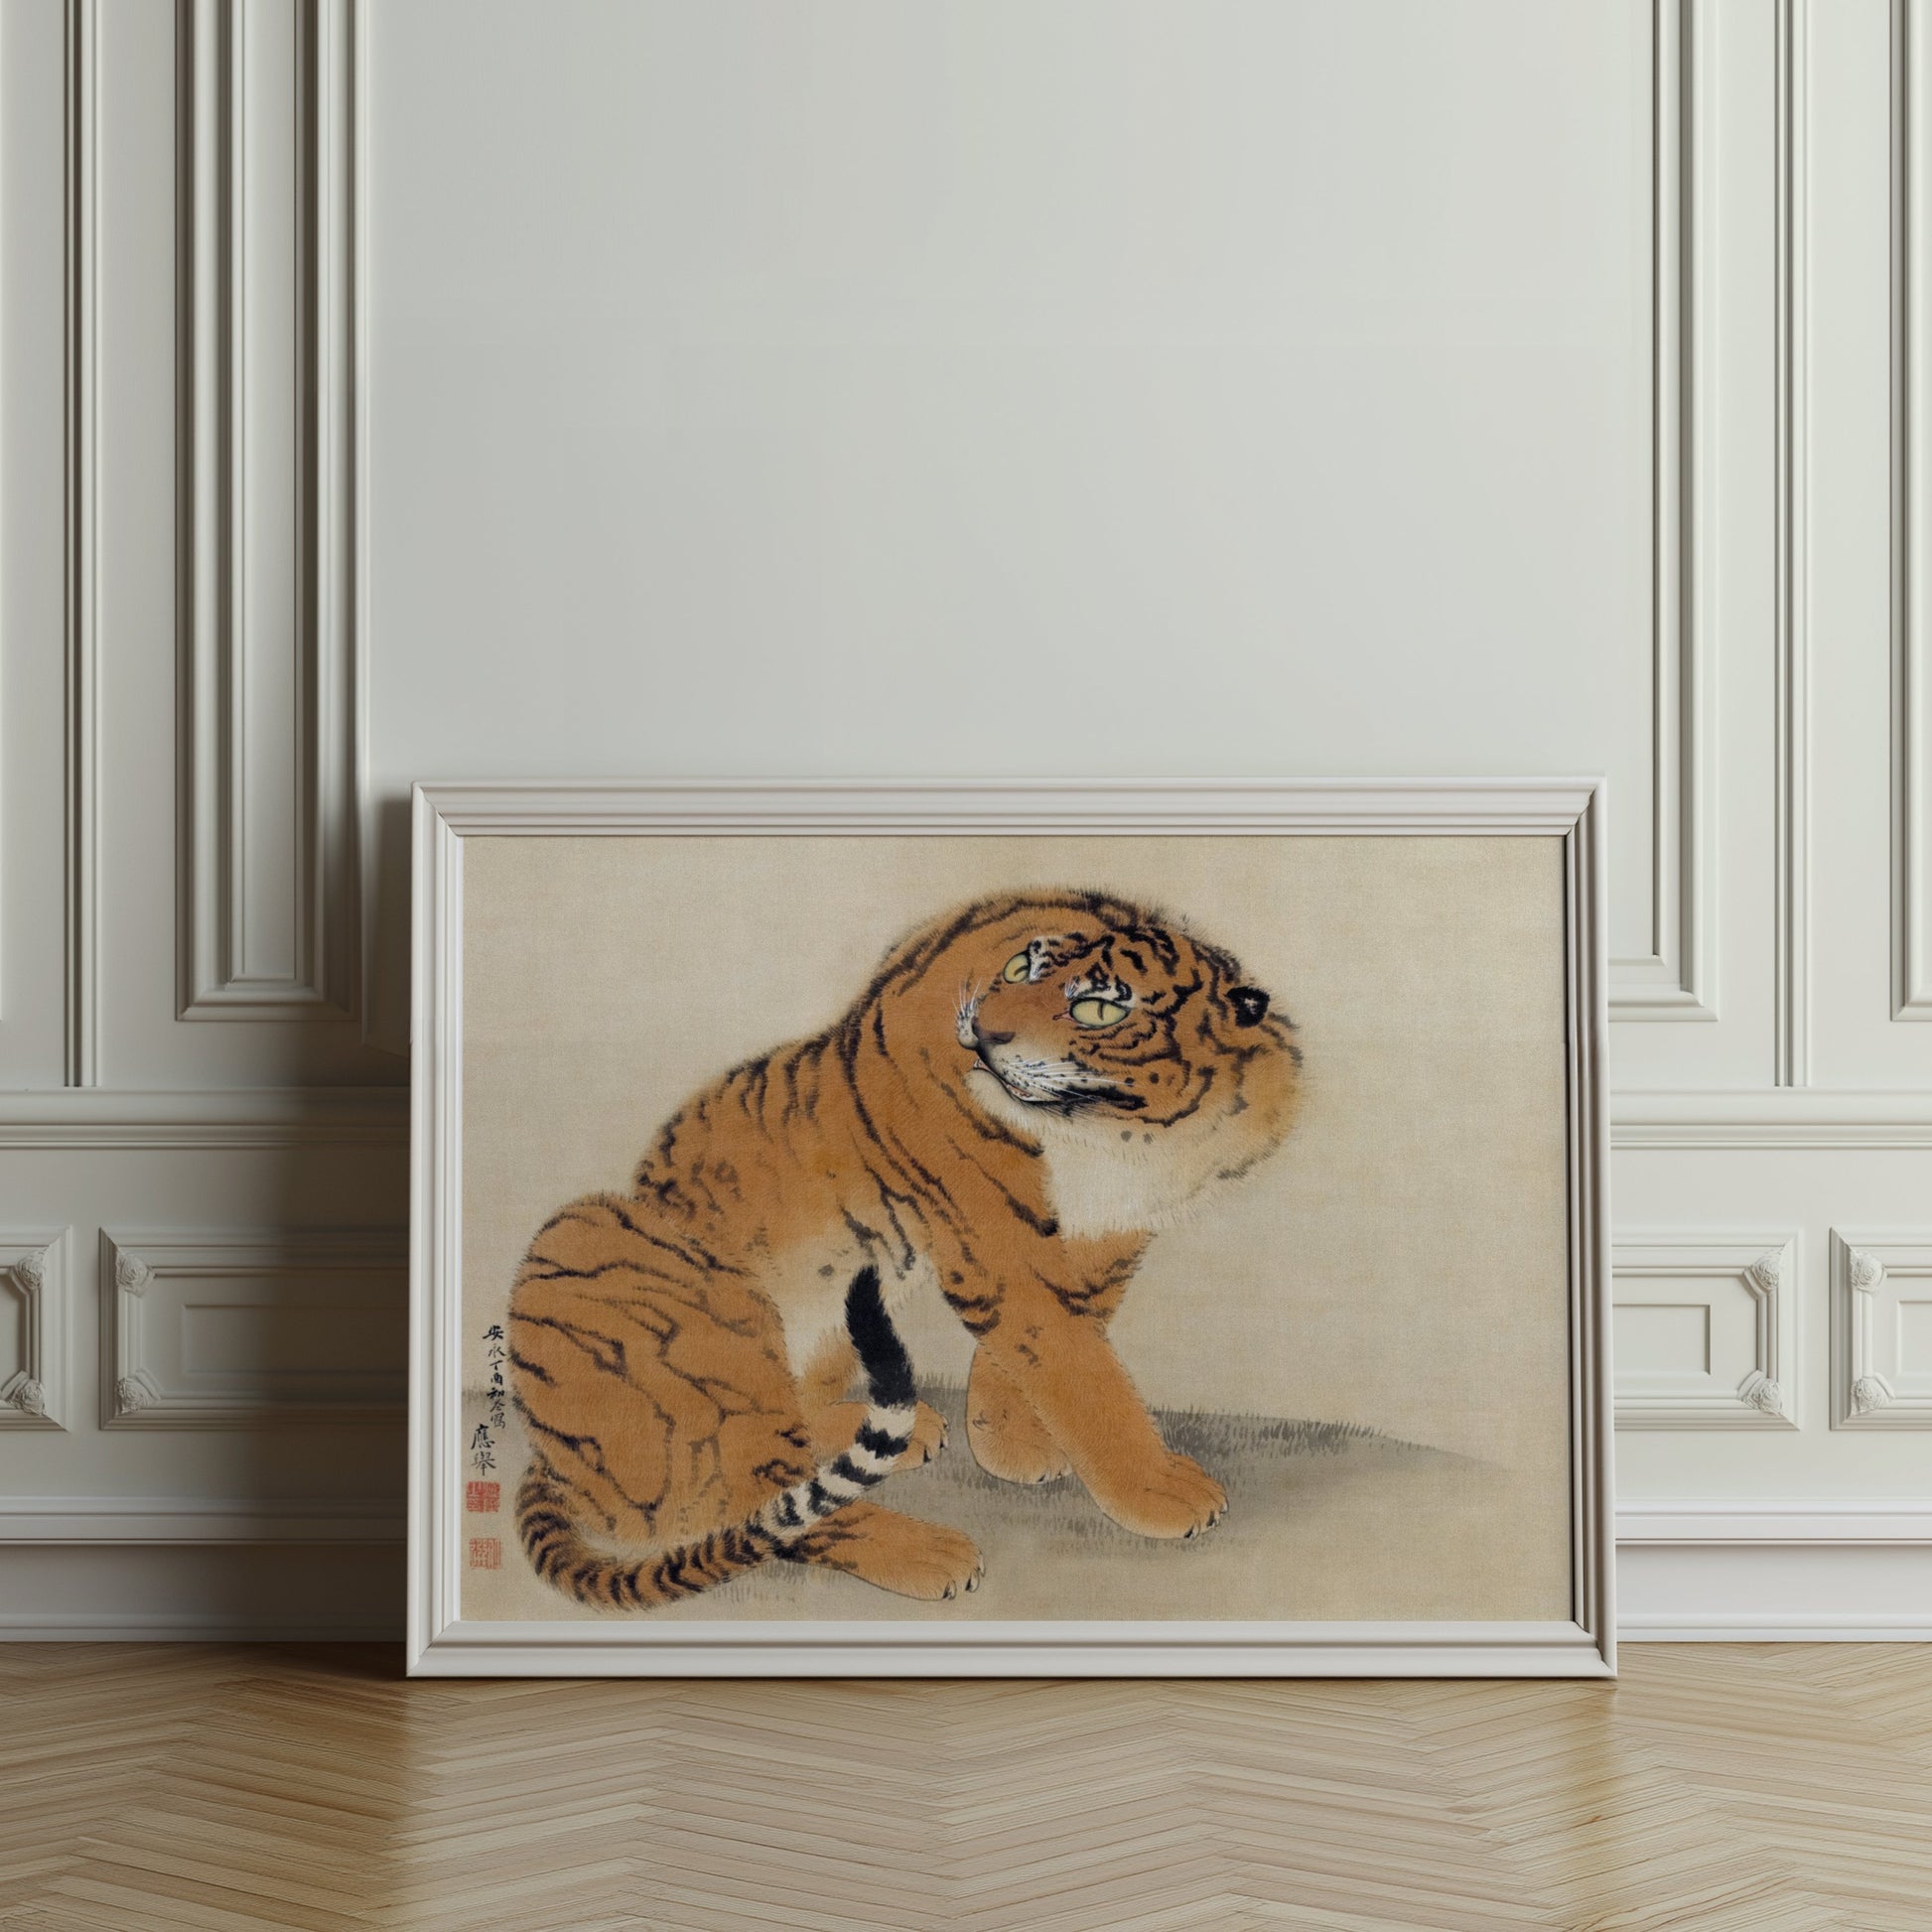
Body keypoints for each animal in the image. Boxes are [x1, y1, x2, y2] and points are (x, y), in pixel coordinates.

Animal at [509, 887, 1302, 1611]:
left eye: (1100, 1010)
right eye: (1021, 968)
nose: (983, 1033)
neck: (1118, 1134)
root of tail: (550, 1459)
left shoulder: (1109, 1236)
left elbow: (1057, 1348)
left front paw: (1011, 1442)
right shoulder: (996, 1242)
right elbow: (1081, 1372)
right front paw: (1159, 1490)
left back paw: (907, 1428)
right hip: (638, 1268)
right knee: (764, 1503)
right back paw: (931, 1553)